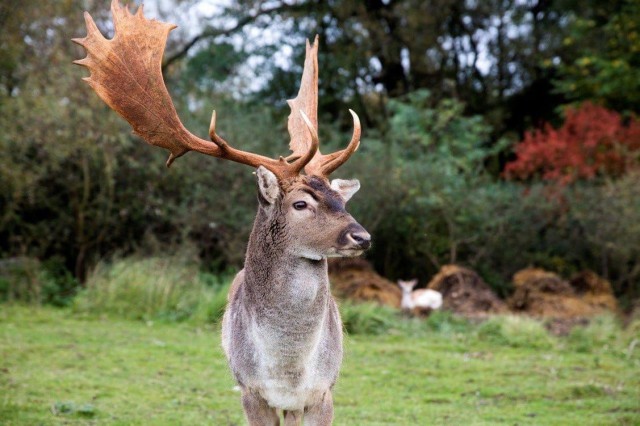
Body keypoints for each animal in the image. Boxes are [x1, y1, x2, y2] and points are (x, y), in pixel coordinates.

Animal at [76, 1, 370, 424]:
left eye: (341, 201)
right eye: (300, 203)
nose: (362, 236)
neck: (289, 371)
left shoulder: (323, 392)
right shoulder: (251, 391)